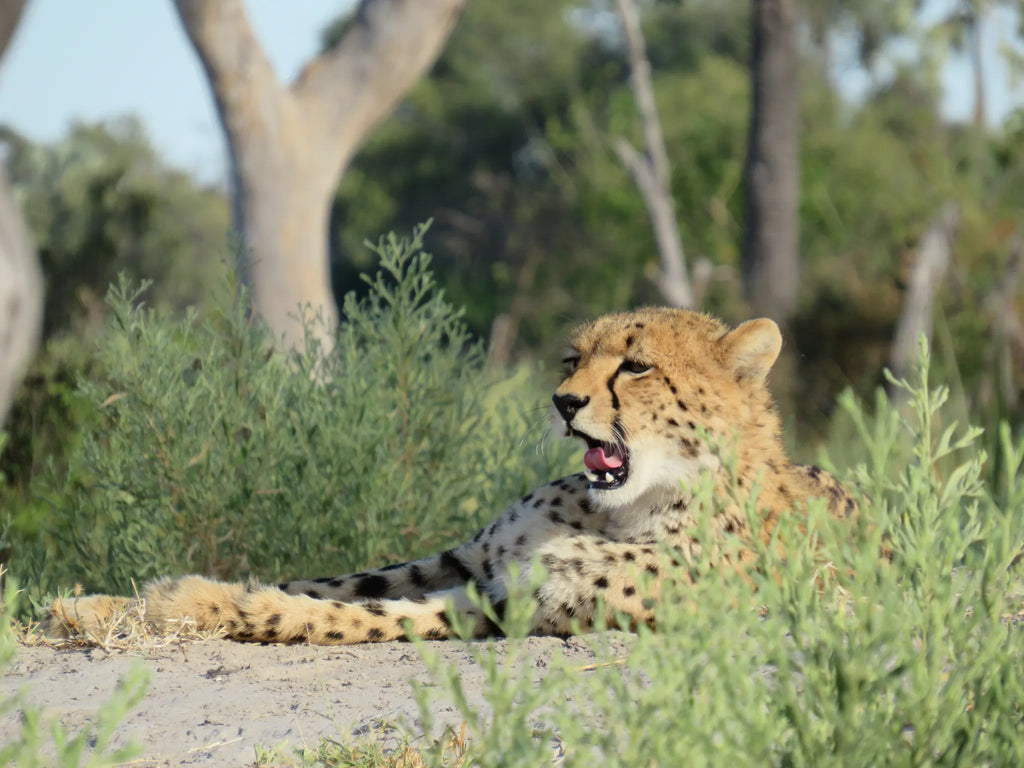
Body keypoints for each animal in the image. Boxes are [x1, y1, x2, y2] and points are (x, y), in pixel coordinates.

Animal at [42, 307, 856, 645]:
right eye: (572, 359)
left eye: (636, 366)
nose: (564, 402)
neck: (626, 506)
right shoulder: (471, 558)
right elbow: (340, 581)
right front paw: (103, 604)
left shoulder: (518, 599)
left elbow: (352, 613)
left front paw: (195, 602)